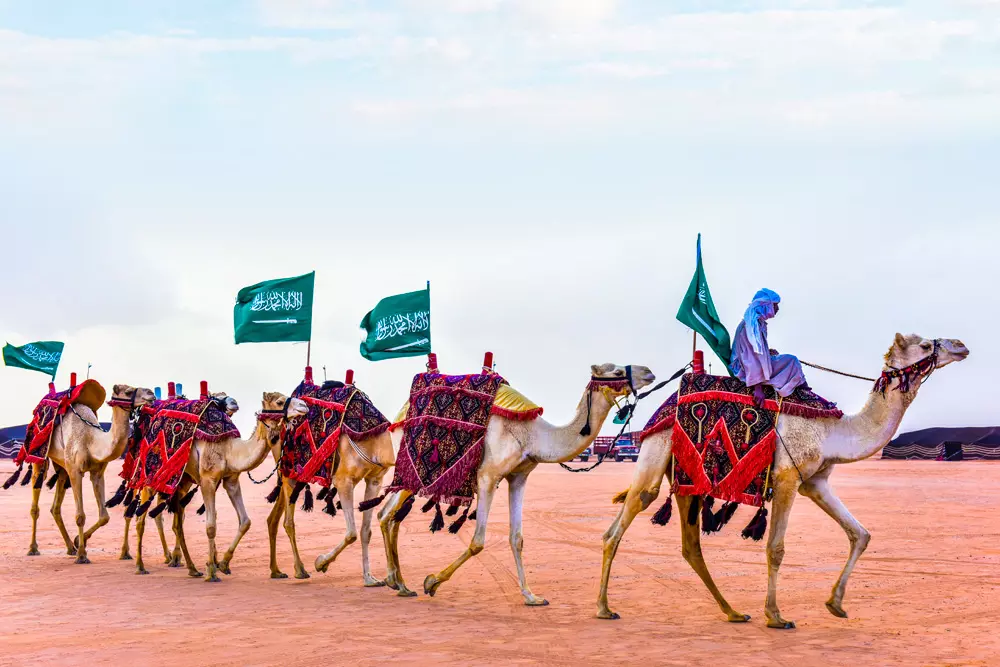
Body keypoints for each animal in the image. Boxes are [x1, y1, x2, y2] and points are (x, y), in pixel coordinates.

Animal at [25, 386, 156, 564]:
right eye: (128, 391)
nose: (151, 393)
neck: (92, 441)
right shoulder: (75, 471)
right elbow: (80, 516)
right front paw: (82, 555)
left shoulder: (97, 473)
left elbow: (104, 517)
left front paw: (78, 542)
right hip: (40, 456)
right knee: (36, 503)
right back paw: (33, 548)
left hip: (62, 467)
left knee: (55, 507)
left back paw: (70, 548)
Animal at [132, 392, 308, 580]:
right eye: (280, 401)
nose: (304, 406)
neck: (230, 450)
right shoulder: (207, 480)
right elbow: (211, 526)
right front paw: (212, 572)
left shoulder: (231, 480)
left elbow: (245, 521)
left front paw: (223, 564)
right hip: (151, 474)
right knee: (141, 519)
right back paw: (140, 566)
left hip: (183, 480)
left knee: (178, 523)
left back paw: (192, 568)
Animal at [376, 362, 656, 604]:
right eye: (617, 371)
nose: (649, 372)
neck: (533, 435)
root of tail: (399, 416)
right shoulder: (487, 476)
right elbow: (478, 542)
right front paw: (432, 581)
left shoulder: (519, 477)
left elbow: (517, 538)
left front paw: (532, 596)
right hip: (409, 469)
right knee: (386, 515)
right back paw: (396, 582)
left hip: (410, 477)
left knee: (389, 516)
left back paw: (400, 583)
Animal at [596, 336, 972, 628]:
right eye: (925, 344)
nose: (961, 345)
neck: (833, 432)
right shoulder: (787, 477)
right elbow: (775, 547)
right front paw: (775, 616)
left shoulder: (815, 482)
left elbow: (860, 534)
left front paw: (835, 605)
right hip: (655, 452)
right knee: (623, 521)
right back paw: (603, 608)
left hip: (688, 479)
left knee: (691, 547)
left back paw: (733, 612)